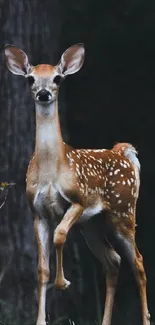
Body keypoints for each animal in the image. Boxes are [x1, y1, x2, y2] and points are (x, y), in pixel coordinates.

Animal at [4, 43, 150, 324]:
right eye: (30, 79)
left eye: (57, 78)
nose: (43, 93)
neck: (51, 170)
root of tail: (123, 152)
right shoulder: (37, 212)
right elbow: (41, 268)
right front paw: (41, 320)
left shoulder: (78, 199)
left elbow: (60, 236)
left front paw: (63, 283)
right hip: (93, 224)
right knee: (113, 261)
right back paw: (105, 321)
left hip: (123, 211)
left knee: (138, 262)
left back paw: (146, 319)